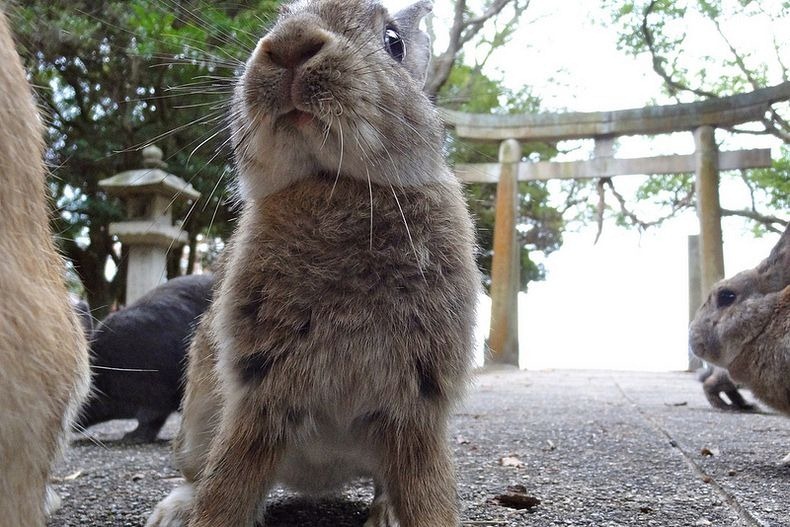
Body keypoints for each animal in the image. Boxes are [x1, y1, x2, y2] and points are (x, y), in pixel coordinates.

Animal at [146, 0, 480, 526]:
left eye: (393, 42)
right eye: (275, 23)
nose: (289, 46)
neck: (333, 183)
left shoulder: (418, 403)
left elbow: (427, 495)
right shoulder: (260, 390)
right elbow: (227, 489)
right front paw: (206, 515)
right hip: (197, 417)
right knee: (198, 471)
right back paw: (174, 511)